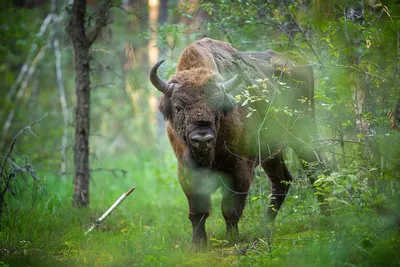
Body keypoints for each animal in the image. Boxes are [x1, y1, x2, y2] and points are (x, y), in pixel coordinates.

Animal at [150, 38, 322, 247]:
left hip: (303, 135)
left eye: (217, 105)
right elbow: (197, 211)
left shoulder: (239, 168)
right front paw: (197, 244)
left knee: (315, 170)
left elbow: (230, 208)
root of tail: (301, 62)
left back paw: (328, 216)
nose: (202, 139)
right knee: (282, 181)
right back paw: (264, 228)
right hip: (271, 153)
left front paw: (232, 239)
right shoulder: (186, 171)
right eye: (178, 107)